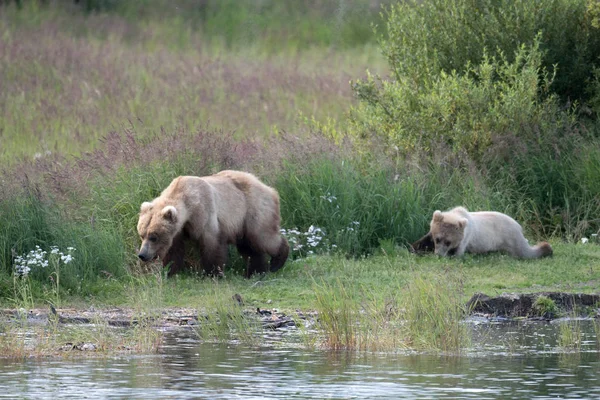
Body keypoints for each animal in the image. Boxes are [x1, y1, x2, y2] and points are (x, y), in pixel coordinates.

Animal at [139, 170, 292, 278]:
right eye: (142, 234)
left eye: (153, 236)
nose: (142, 255)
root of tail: (269, 188)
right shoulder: (178, 230)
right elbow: (173, 250)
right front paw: (169, 270)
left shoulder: (205, 213)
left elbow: (212, 244)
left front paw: (212, 273)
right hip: (243, 222)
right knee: (249, 246)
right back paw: (255, 271)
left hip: (254, 209)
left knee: (262, 237)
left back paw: (276, 262)